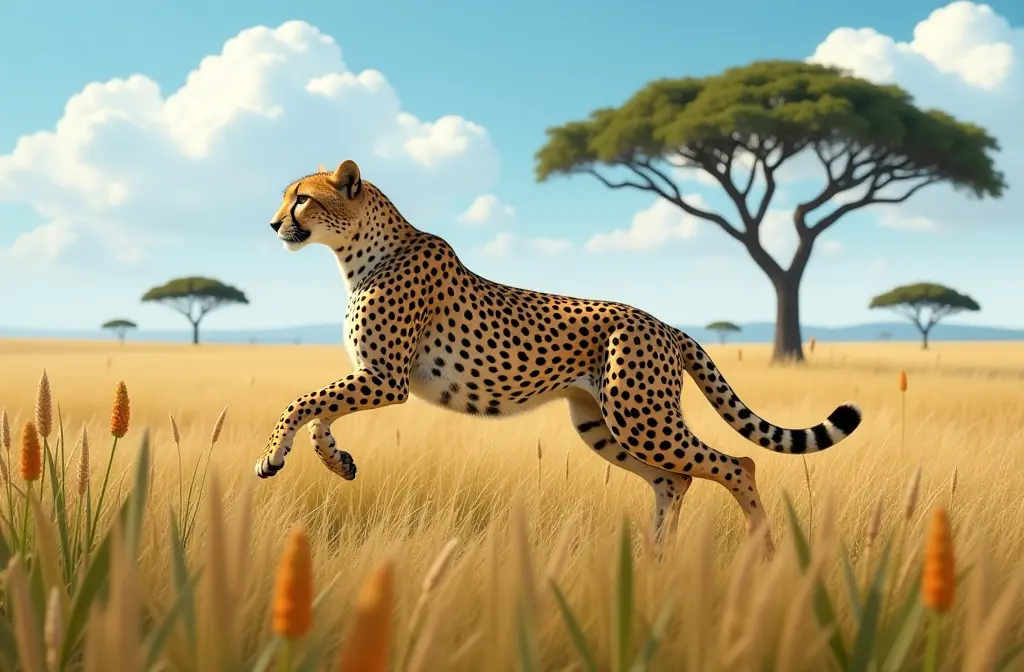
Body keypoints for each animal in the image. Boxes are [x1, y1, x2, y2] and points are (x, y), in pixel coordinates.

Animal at [255, 159, 863, 549]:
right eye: (285, 196)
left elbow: (300, 401)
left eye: (301, 197)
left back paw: (764, 551)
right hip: (601, 424)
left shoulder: (385, 378)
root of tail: (663, 322)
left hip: (641, 418)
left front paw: (270, 457)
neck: (360, 250)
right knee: (676, 480)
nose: (274, 223)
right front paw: (335, 461)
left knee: (738, 463)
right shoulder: (371, 376)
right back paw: (655, 562)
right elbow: (319, 412)